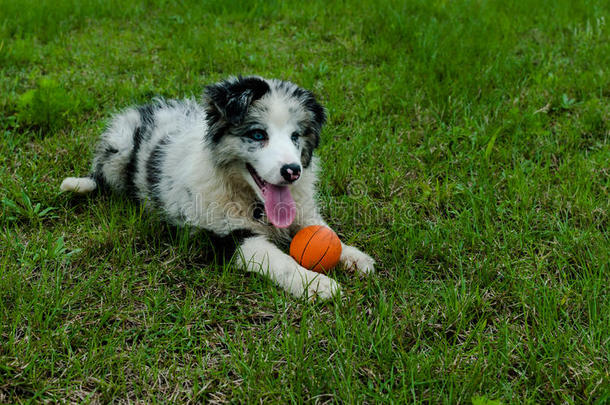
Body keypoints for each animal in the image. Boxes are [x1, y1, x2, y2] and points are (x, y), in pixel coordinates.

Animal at [63, 76, 376, 298]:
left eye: (295, 136)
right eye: (258, 134)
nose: (292, 172)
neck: (250, 200)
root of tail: (145, 107)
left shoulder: (301, 207)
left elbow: (324, 230)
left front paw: (355, 257)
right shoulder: (221, 235)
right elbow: (276, 259)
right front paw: (315, 284)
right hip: (120, 145)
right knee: (101, 176)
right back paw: (81, 184)